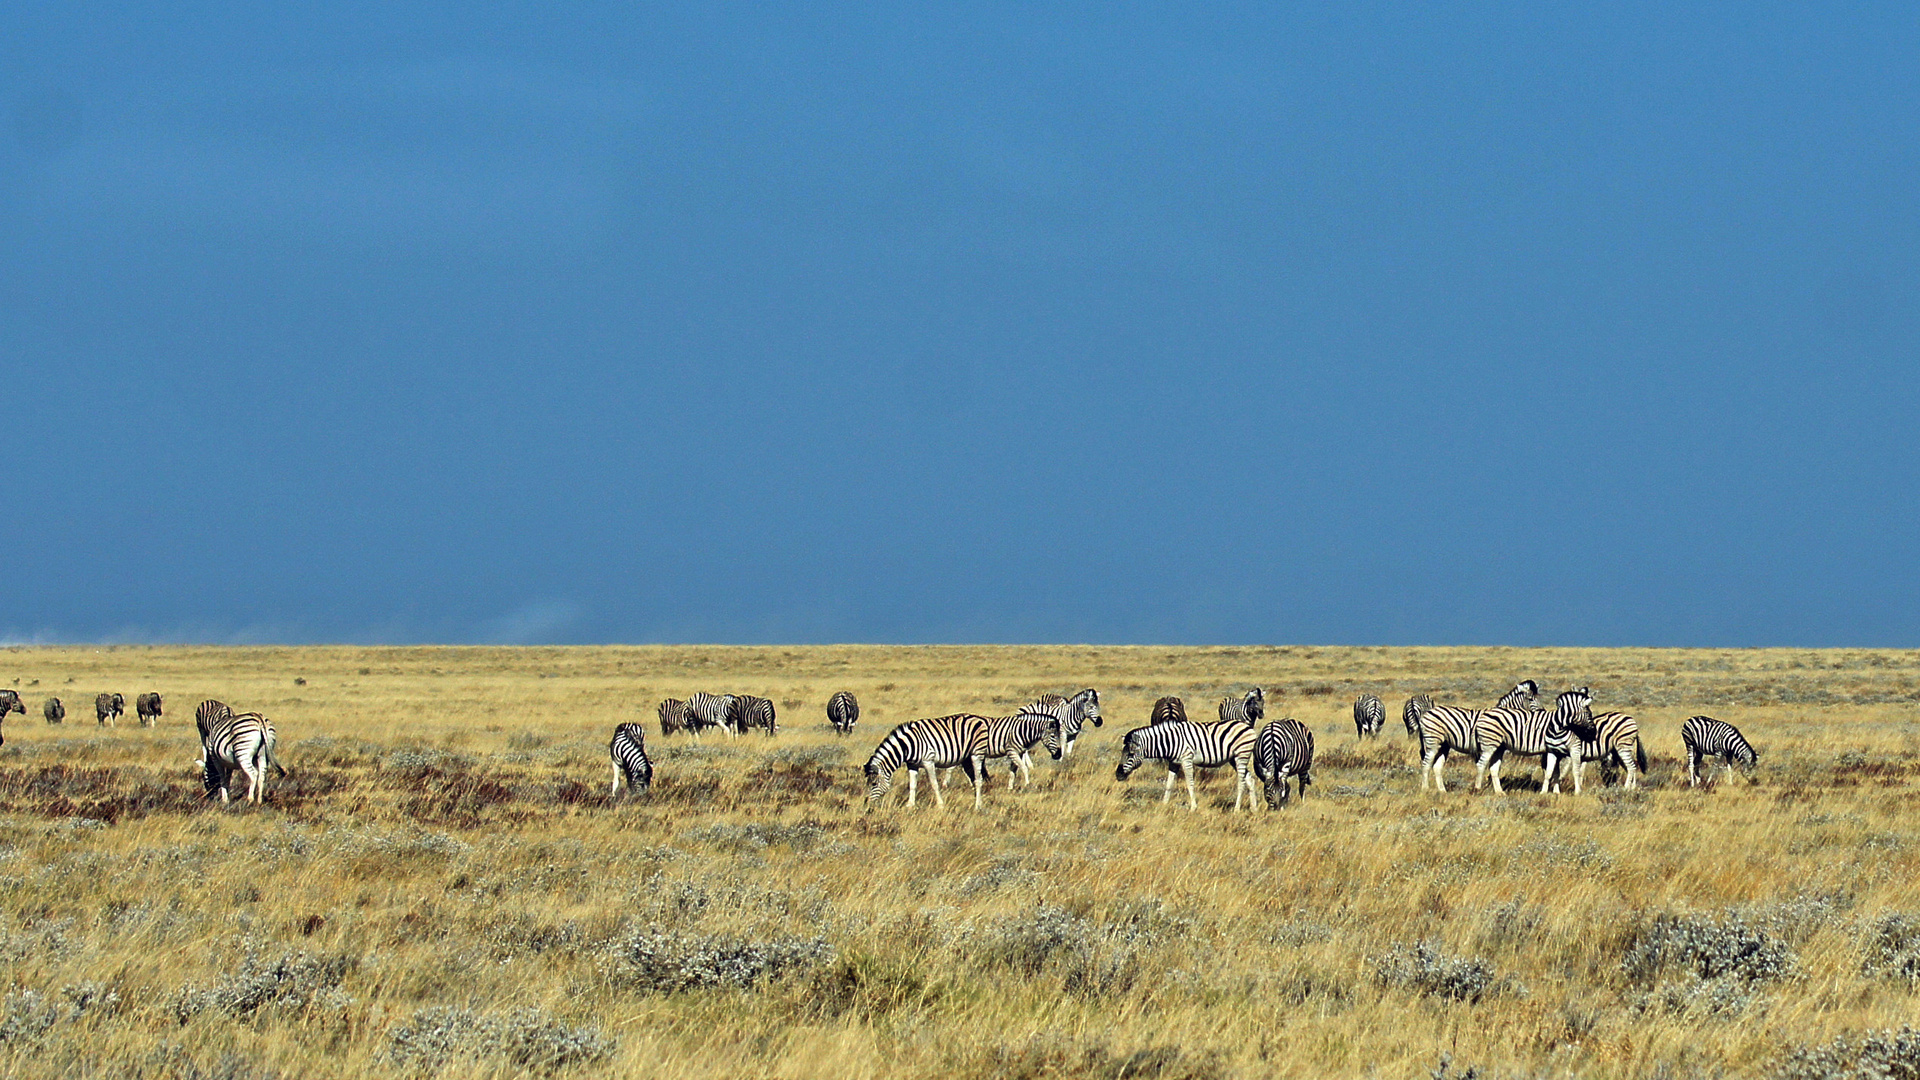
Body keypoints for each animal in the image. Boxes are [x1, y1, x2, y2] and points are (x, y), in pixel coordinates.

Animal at [1113, 714, 1259, 807]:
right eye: (1122, 753)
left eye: (1131, 754)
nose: (1118, 775)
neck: (1170, 741)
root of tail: (1247, 726)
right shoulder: (1174, 763)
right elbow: (1169, 784)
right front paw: (1164, 805)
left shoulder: (1186, 759)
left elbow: (1190, 783)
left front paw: (1193, 807)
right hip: (1233, 758)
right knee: (1250, 779)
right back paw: (1254, 809)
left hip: (1241, 755)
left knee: (1241, 782)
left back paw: (1236, 809)